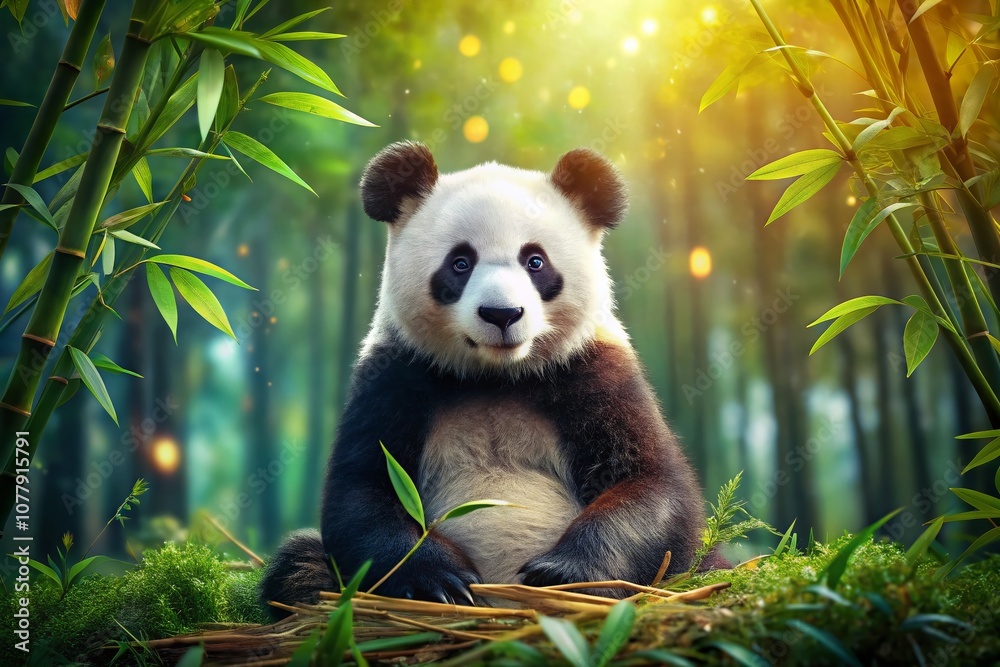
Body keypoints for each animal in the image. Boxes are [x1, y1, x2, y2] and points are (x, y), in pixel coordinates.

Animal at [260, 141, 724, 614]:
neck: (497, 376)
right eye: (460, 263)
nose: (502, 314)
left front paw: (564, 576)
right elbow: (364, 491)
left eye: (535, 261)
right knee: (299, 563)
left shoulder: (593, 371)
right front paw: (436, 582)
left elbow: (651, 482)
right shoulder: (396, 373)